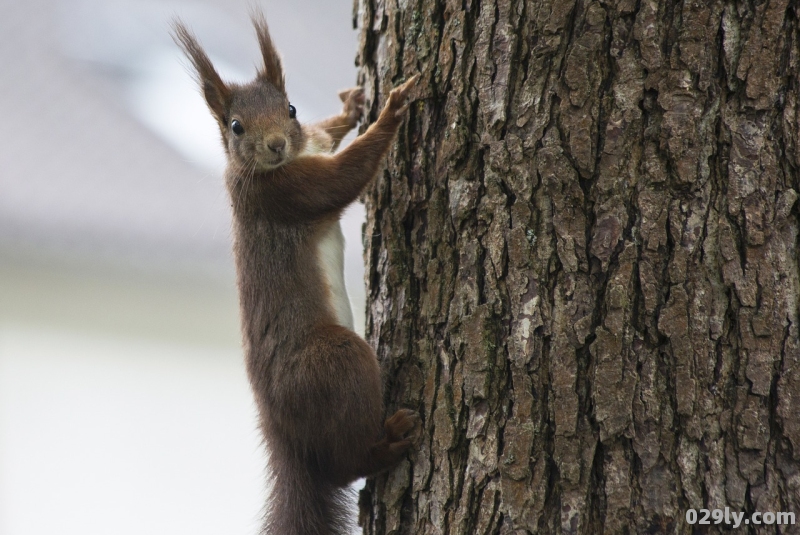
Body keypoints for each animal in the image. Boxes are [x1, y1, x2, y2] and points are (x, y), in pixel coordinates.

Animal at [172, 12, 422, 535]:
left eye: (290, 108)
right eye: (235, 126)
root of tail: (281, 434)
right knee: (344, 465)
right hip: (334, 363)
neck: (285, 162)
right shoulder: (287, 194)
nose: (275, 145)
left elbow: (329, 134)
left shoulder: (311, 148)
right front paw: (392, 108)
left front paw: (353, 105)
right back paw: (388, 442)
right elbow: (346, 176)